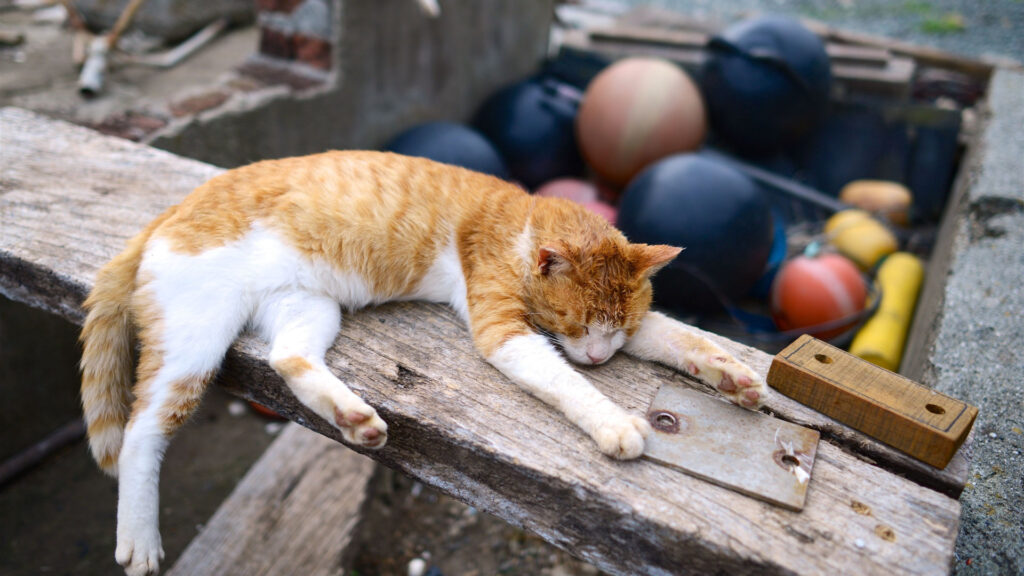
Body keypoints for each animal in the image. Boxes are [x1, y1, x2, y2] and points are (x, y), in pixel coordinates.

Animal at [79, 150, 765, 569]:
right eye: (576, 325)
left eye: (616, 330)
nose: (598, 357)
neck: (522, 221)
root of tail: (168, 213)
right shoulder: (502, 328)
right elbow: (564, 381)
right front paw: (616, 422)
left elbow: (676, 335)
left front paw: (732, 375)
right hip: (194, 341)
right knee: (142, 432)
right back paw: (138, 538)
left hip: (306, 305)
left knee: (289, 358)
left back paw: (355, 418)